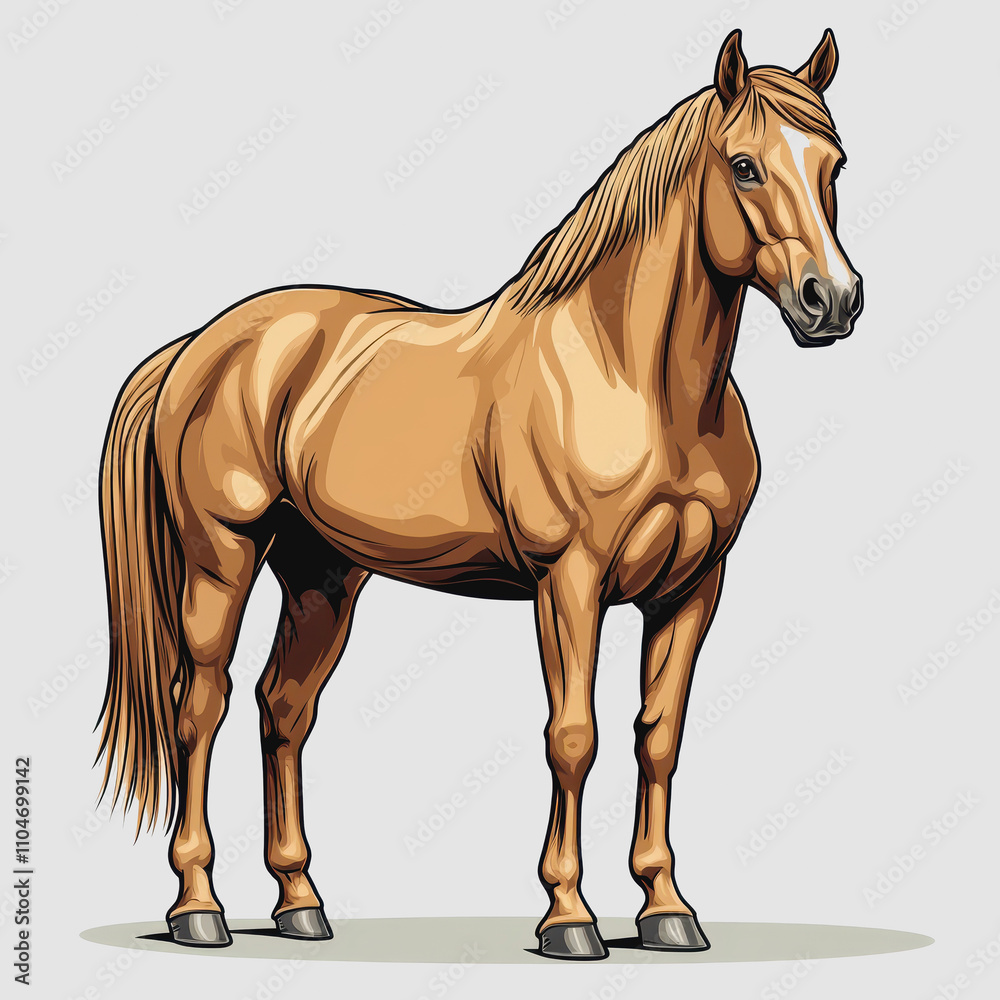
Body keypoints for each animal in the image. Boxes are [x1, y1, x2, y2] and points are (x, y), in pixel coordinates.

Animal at [96, 28, 862, 960]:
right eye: (746, 165)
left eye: (834, 164)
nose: (833, 300)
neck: (637, 380)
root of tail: (201, 344)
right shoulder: (569, 583)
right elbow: (574, 737)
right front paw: (569, 918)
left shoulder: (691, 590)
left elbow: (658, 740)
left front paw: (666, 909)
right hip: (224, 558)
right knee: (199, 707)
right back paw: (198, 907)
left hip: (322, 576)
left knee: (283, 709)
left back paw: (300, 903)